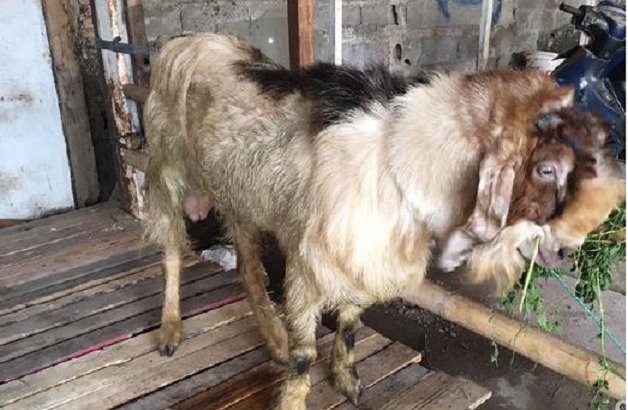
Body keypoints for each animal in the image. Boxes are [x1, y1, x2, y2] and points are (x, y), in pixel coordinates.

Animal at [142, 32, 624, 410]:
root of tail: (186, 43)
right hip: (166, 165)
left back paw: (273, 339)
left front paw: (348, 382)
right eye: (546, 168)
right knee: (171, 250)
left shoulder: (366, 261)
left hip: (239, 191)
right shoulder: (312, 264)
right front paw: (295, 396)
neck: (400, 161)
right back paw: (170, 332)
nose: (566, 250)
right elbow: (306, 353)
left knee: (246, 267)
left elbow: (350, 326)